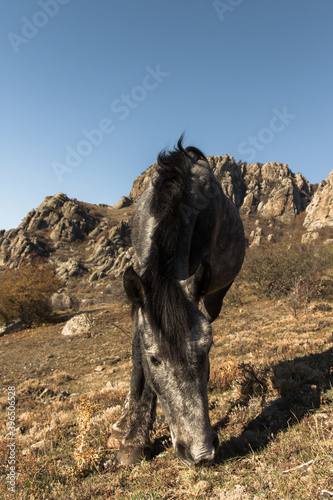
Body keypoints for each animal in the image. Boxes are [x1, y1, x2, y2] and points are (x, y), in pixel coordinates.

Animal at [109, 137, 244, 464]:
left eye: (208, 348)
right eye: (155, 359)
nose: (201, 451)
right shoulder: (142, 289)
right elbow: (137, 355)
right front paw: (132, 435)